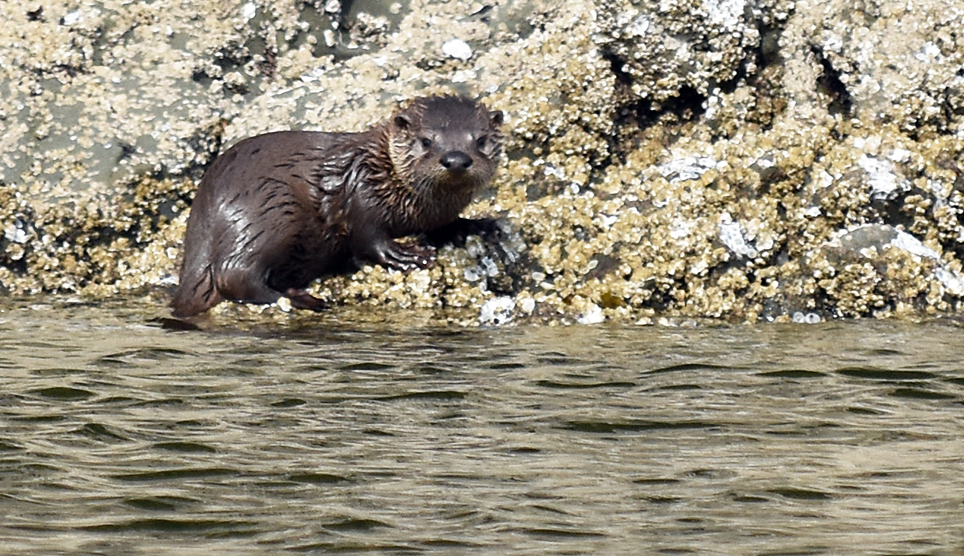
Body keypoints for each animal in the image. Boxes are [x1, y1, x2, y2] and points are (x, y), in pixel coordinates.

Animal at [171, 95, 504, 318]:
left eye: (481, 140)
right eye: (426, 141)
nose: (456, 159)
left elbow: (447, 224)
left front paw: (479, 224)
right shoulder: (362, 190)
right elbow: (366, 235)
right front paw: (404, 254)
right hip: (270, 211)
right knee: (233, 276)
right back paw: (304, 300)